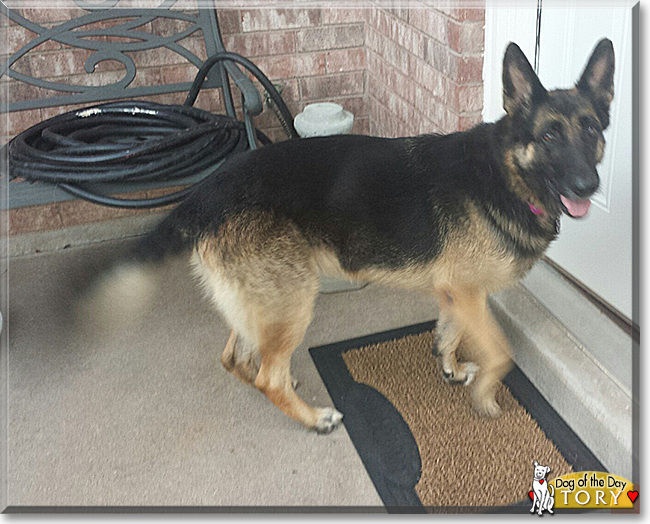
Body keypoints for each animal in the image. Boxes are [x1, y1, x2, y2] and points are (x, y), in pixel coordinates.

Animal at [86, 40, 612, 434]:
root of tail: (208, 188)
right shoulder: (467, 292)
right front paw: (484, 394)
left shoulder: (458, 293)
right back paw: (313, 417)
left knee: (237, 359)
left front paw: (452, 368)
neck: (506, 174)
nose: (588, 186)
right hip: (293, 300)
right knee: (266, 377)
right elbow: (502, 352)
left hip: (259, 301)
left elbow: (449, 333)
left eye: (590, 129)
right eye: (549, 136)